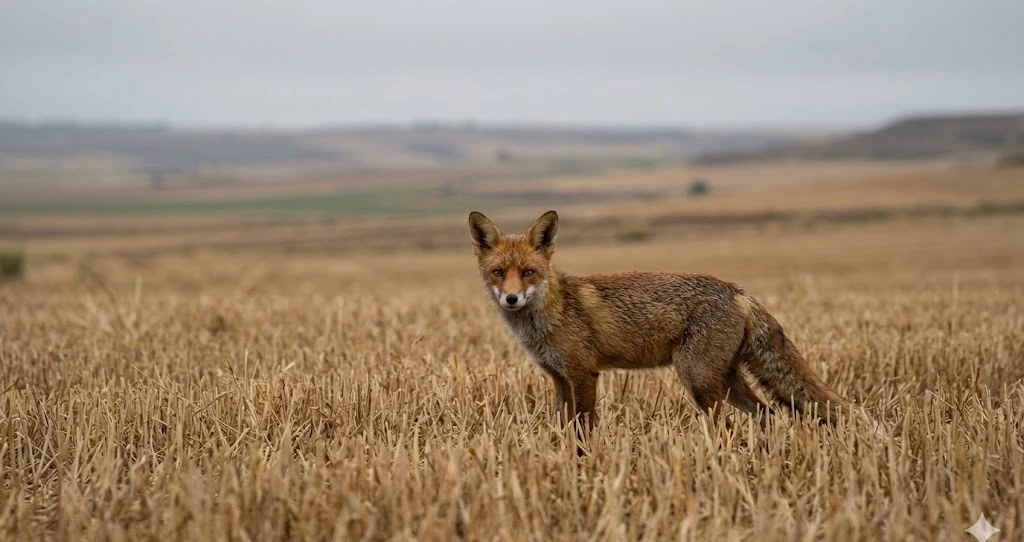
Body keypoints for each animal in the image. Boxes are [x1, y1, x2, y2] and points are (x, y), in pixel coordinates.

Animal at [468, 209, 850, 432]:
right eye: (498, 273)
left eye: (528, 273)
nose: (511, 299)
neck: (550, 315)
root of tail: (736, 291)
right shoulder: (559, 378)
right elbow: (562, 427)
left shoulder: (583, 373)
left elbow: (584, 428)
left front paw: (584, 463)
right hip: (724, 379)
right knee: (767, 415)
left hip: (697, 378)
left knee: (726, 426)